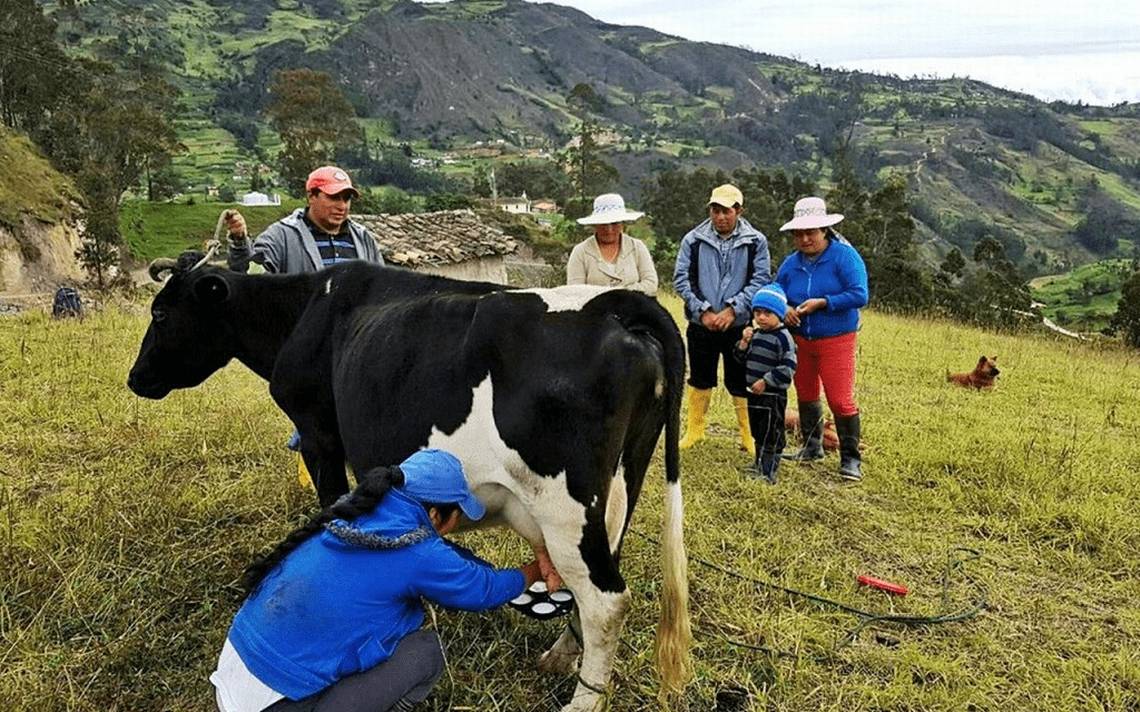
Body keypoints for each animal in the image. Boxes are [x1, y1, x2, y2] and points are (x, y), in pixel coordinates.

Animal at [128, 256, 688, 710]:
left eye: (160, 315)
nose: (135, 378)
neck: (305, 309)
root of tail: (611, 305)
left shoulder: (319, 432)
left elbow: (332, 501)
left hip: (565, 505)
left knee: (606, 600)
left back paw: (583, 701)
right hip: (620, 488)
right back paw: (559, 657)